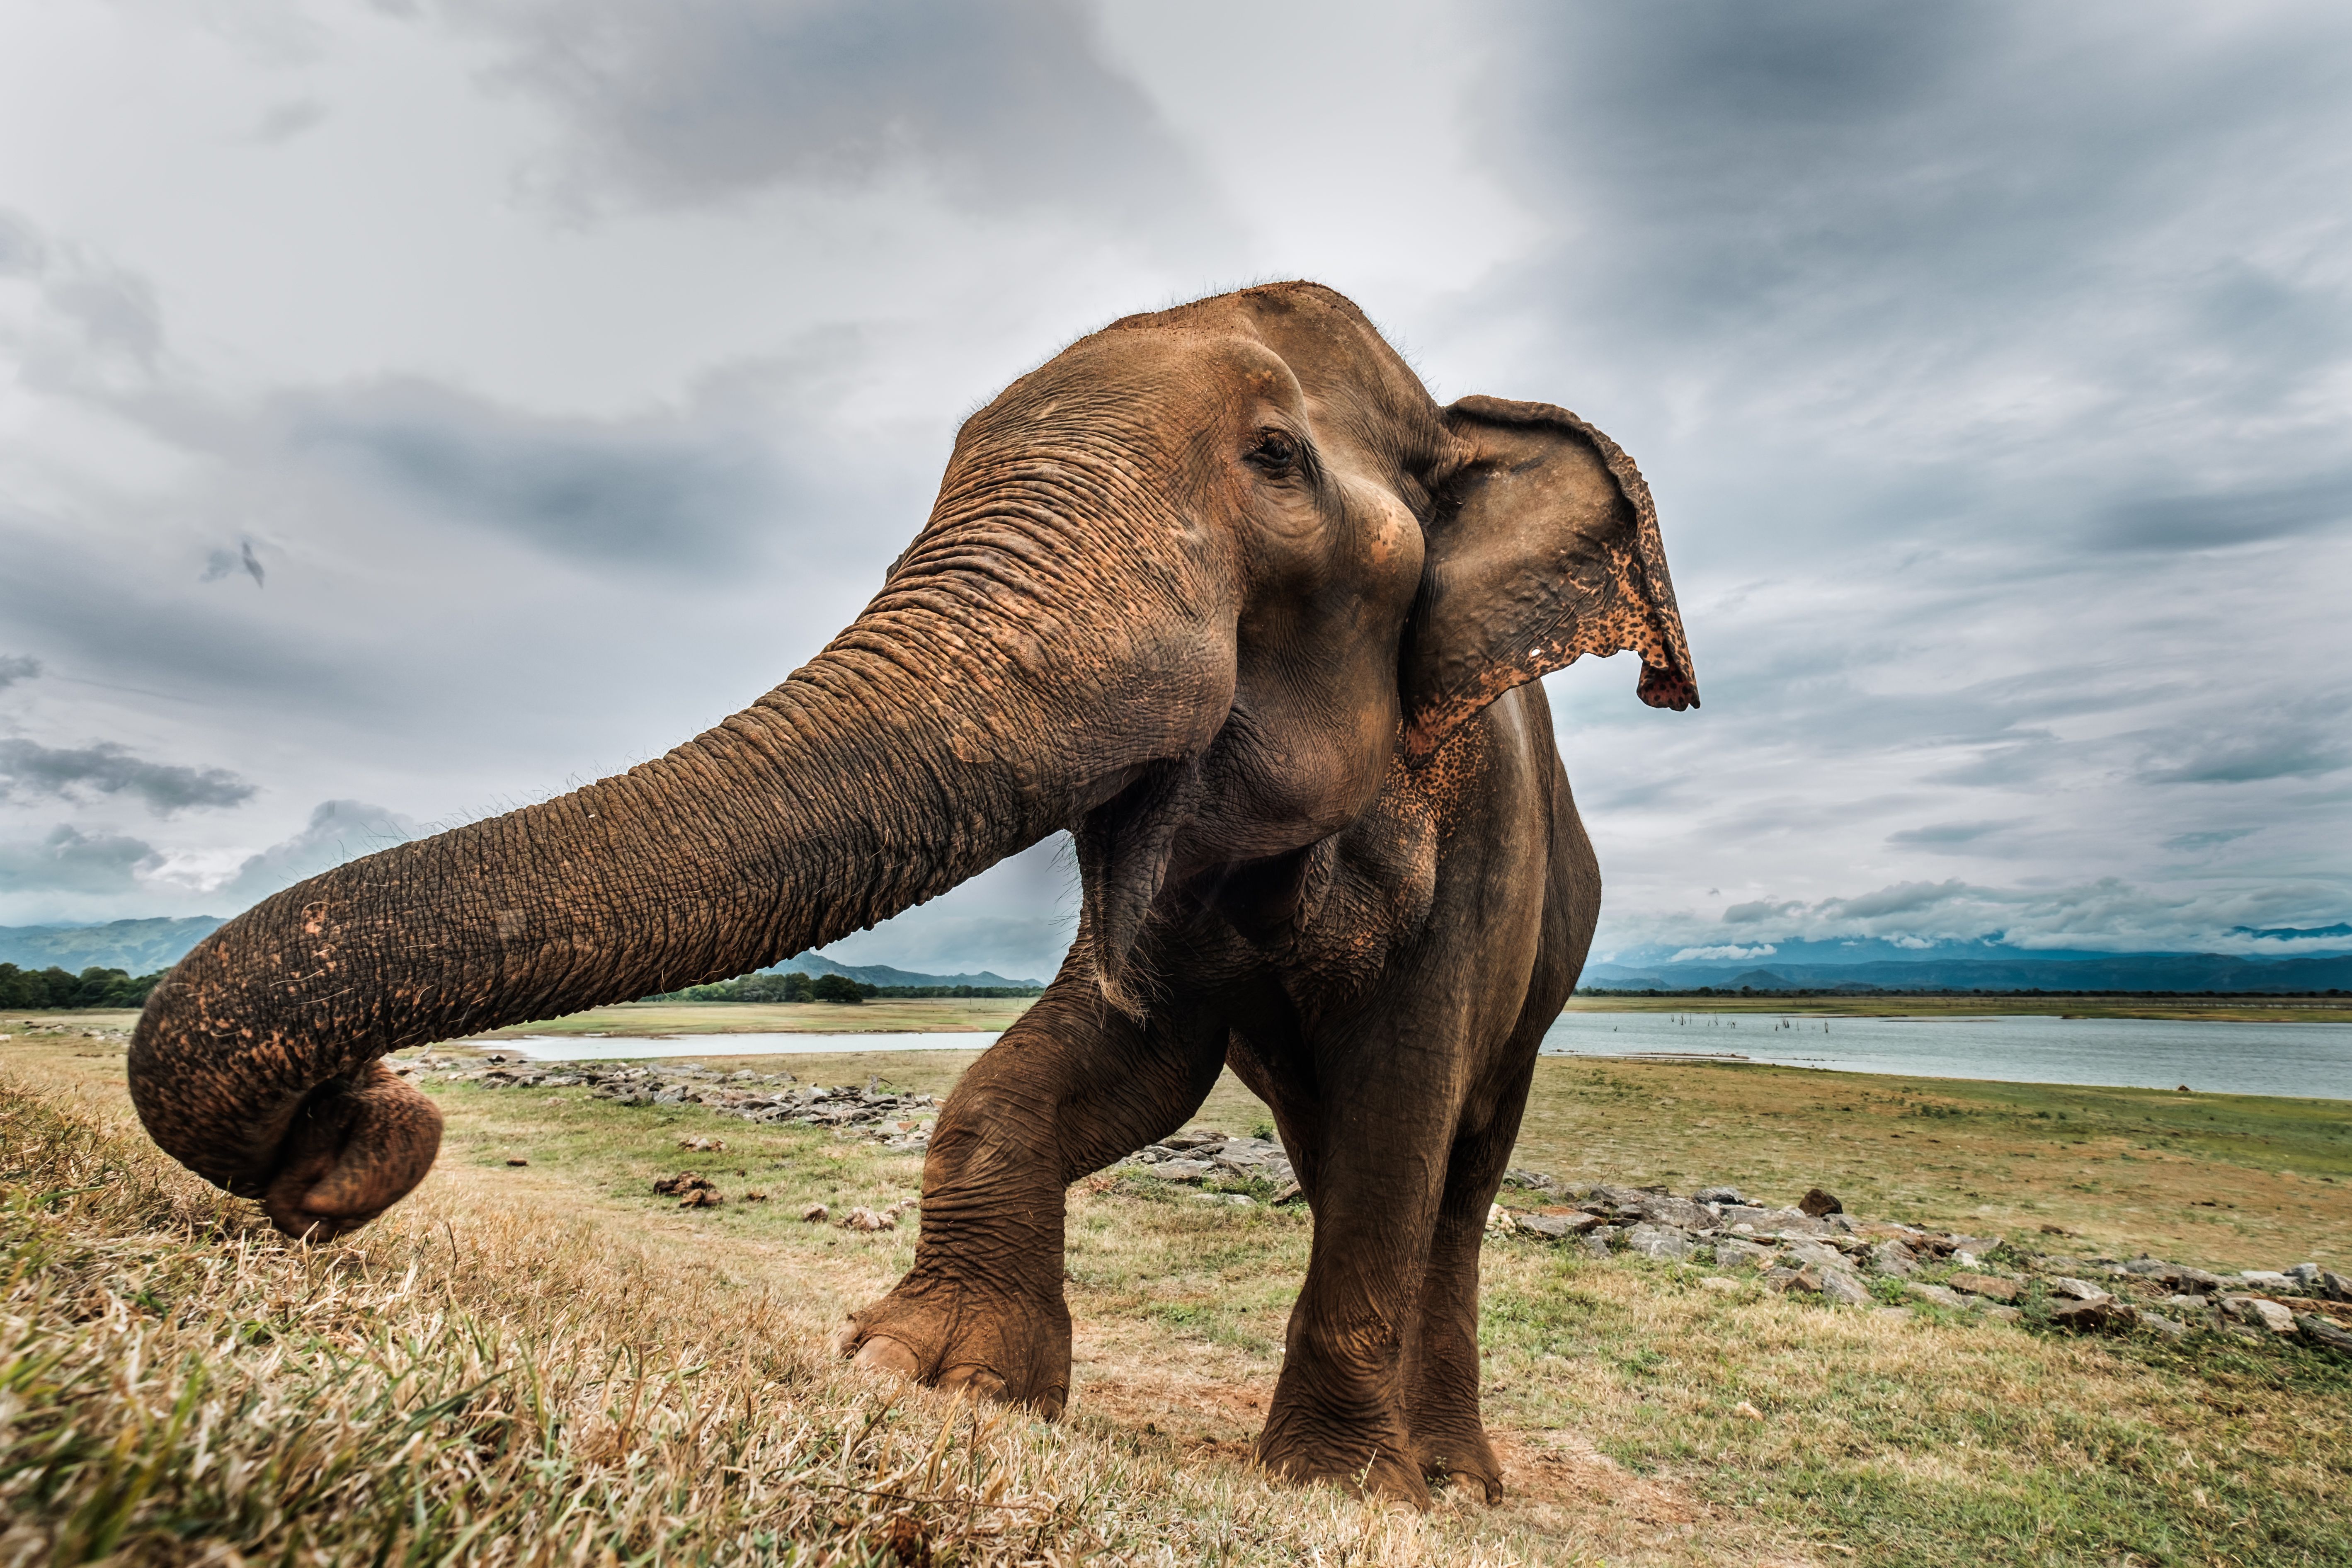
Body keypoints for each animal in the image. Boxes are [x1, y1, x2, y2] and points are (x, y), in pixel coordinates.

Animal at [128, 281, 1696, 1508]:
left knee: (1454, 1168)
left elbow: (1402, 1087)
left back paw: (1448, 1480)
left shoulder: (1482, 843)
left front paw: (1331, 1486)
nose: (345, 1140)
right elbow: (1119, 1055)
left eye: (1274, 456)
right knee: (1334, 1151)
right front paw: (925, 1373)